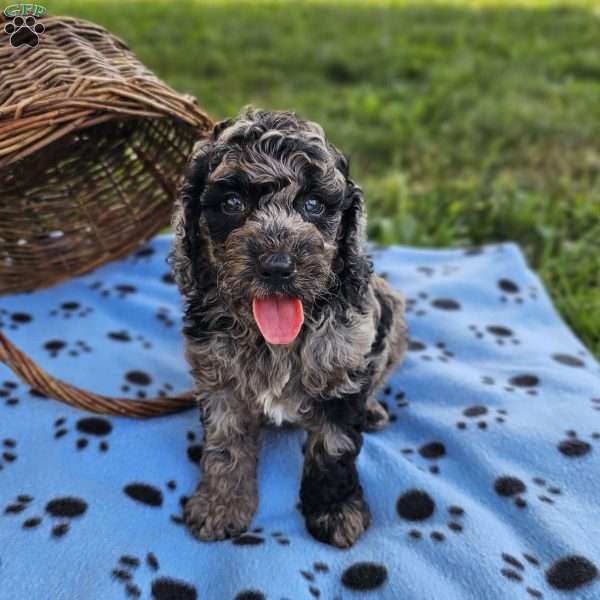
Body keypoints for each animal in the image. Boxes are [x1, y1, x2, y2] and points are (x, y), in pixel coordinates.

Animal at [169, 108, 408, 548]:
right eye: (232, 203)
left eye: (313, 204)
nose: (278, 266)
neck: (272, 340)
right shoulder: (218, 378)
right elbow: (225, 446)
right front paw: (220, 505)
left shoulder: (345, 365)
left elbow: (333, 448)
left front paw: (335, 510)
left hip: (394, 313)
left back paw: (372, 409)